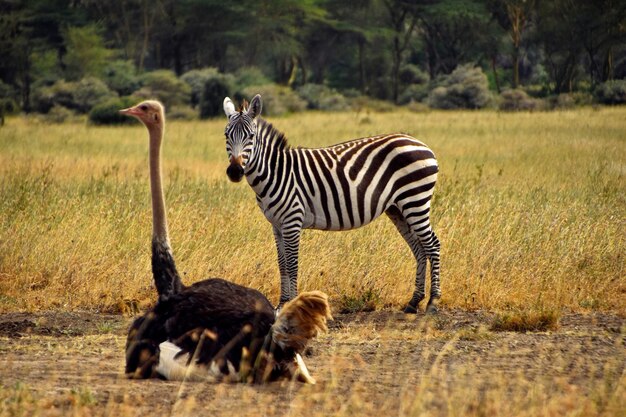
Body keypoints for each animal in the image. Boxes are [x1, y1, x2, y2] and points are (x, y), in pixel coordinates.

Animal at [222, 94, 442, 314]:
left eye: (251, 136)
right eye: (226, 135)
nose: (234, 172)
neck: (275, 172)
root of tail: (420, 143)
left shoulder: (292, 220)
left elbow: (292, 264)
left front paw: (292, 304)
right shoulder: (276, 225)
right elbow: (282, 263)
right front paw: (281, 305)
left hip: (415, 200)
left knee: (432, 244)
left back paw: (433, 302)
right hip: (398, 209)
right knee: (419, 248)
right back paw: (414, 302)